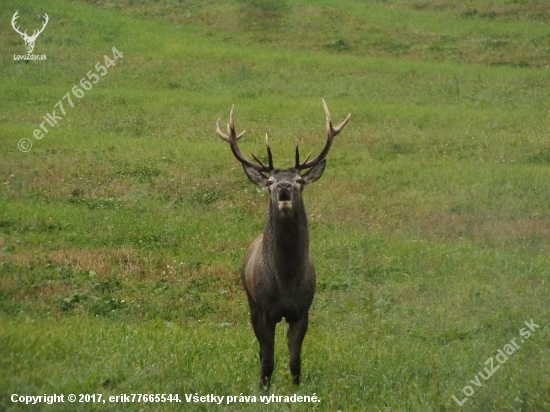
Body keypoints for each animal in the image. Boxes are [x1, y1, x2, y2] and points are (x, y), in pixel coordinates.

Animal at [216, 99, 350, 386]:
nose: (284, 187)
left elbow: (295, 360)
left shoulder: (302, 310)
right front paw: (263, 387)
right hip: (250, 302)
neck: (286, 279)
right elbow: (267, 358)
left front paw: (296, 388)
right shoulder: (265, 310)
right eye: (269, 181)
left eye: (299, 180)